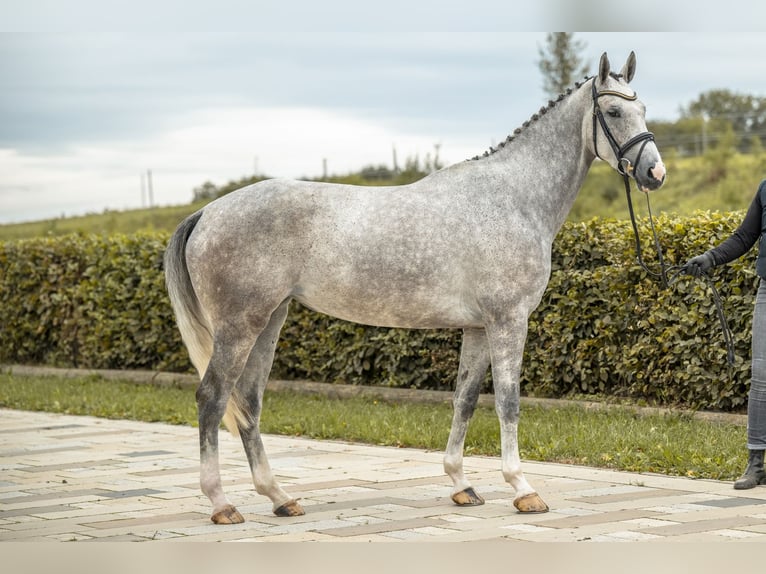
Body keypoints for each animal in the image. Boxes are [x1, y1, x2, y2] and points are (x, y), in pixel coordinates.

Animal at [166, 53, 664, 528]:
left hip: (269, 321)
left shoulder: (478, 328)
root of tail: (207, 212)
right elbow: (508, 402)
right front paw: (522, 489)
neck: (514, 198)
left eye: (643, 109)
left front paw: (462, 485)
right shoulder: (508, 320)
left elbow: (465, 400)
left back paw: (280, 498)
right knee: (213, 398)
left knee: (248, 402)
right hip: (239, 326)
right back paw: (222, 504)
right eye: (614, 111)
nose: (654, 172)